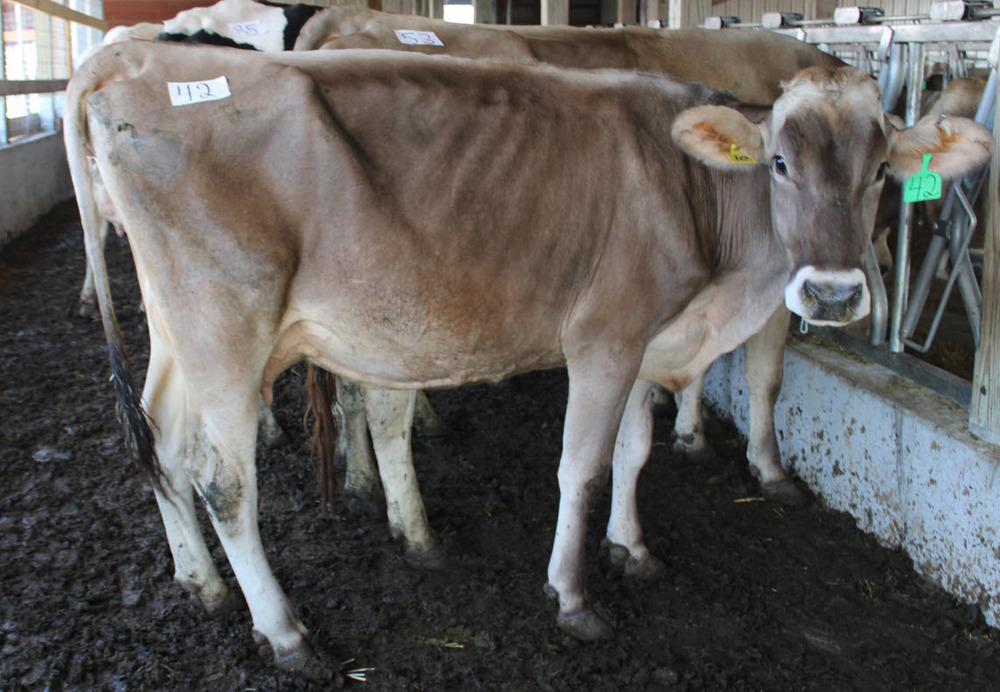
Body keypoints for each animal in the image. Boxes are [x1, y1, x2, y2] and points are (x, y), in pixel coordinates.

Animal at [66, 42, 989, 677]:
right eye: (780, 163)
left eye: (882, 171)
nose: (832, 296)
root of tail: (131, 60)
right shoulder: (605, 337)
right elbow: (581, 467)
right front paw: (573, 597)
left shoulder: (649, 338)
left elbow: (636, 452)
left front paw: (633, 550)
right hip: (226, 330)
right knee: (224, 482)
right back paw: (284, 631)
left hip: (176, 332)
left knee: (160, 444)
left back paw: (202, 584)